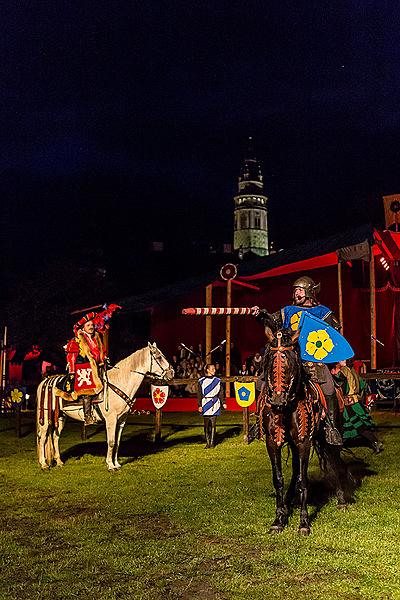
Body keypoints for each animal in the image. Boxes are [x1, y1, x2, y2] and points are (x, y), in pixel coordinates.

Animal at [37, 342, 173, 468]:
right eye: (159, 357)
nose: (172, 373)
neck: (120, 382)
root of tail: (46, 381)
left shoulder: (121, 420)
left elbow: (117, 442)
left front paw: (116, 463)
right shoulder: (111, 419)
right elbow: (111, 442)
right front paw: (110, 465)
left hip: (61, 417)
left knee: (55, 437)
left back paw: (59, 462)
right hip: (45, 417)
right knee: (42, 437)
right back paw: (43, 464)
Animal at [260, 326, 346, 536]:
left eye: (291, 362)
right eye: (270, 360)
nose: (277, 401)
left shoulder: (304, 442)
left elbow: (303, 480)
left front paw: (304, 523)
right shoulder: (272, 442)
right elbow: (279, 479)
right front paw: (279, 519)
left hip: (328, 437)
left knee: (334, 461)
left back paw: (341, 500)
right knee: (295, 470)